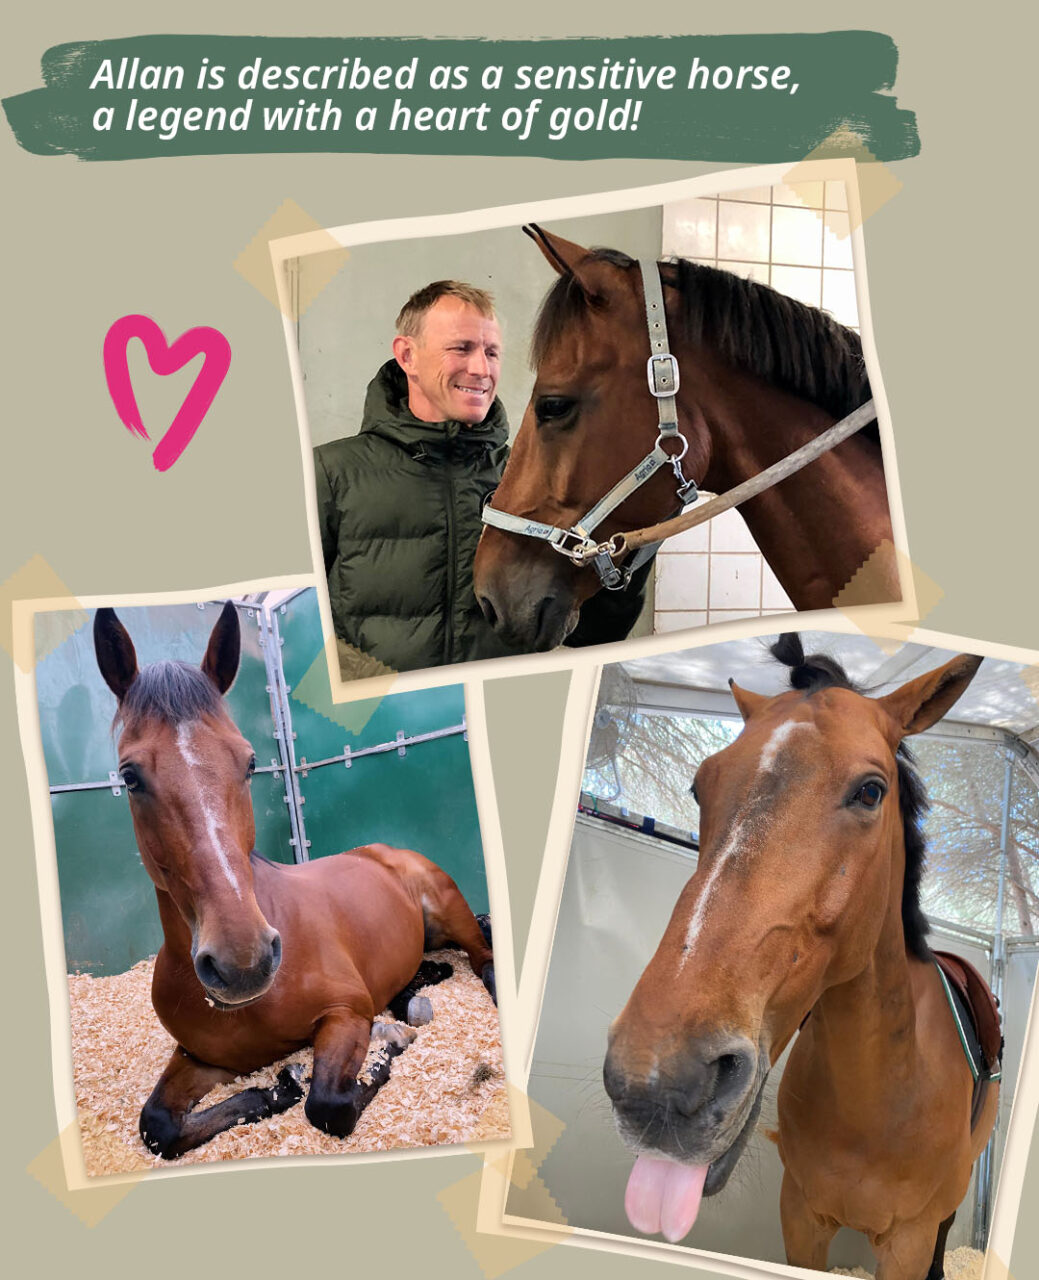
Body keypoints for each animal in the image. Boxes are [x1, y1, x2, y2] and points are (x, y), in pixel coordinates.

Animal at [93, 602, 496, 1159]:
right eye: (129, 776)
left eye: (249, 763)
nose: (242, 962)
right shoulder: (198, 1056)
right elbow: (157, 1125)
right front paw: (273, 1091)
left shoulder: (346, 1014)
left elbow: (329, 1104)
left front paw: (384, 1048)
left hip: (450, 910)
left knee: (483, 957)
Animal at [602, 636, 1000, 1280]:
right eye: (699, 787)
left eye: (871, 791)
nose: (654, 1081)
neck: (879, 1100)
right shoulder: (801, 1219)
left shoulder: (909, 1241)